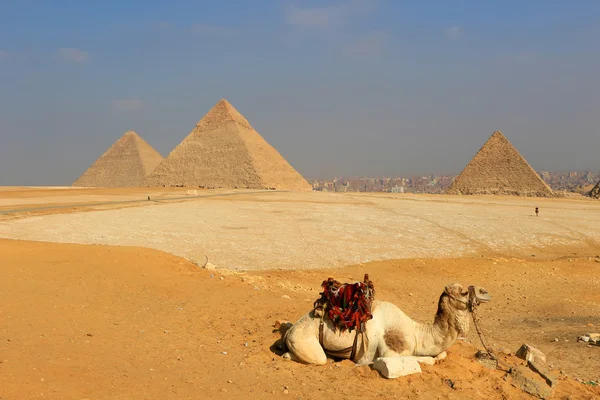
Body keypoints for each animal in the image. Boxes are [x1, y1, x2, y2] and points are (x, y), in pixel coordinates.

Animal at [284, 282, 490, 366]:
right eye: (464, 292)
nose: (485, 292)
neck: (416, 334)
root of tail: (290, 331)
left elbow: (440, 354)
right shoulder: (389, 351)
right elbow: (427, 360)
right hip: (303, 339)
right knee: (319, 358)